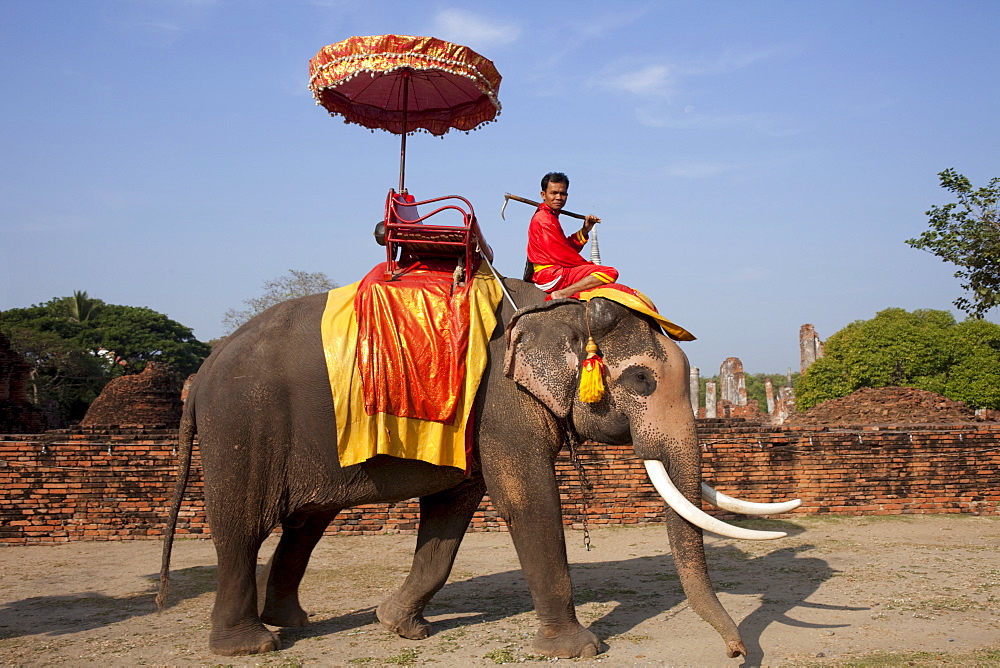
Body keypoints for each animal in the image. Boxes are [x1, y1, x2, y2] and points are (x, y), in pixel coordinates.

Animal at [156, 276, 796, 656]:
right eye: (640, 380)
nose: (736, 653)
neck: (556, 307)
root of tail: (202, 373)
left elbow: (452, 512)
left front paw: (401, 627)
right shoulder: (500, 404)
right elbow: (528, 500)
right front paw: (580, 650)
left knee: (306, 522)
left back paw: (295, 622)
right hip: (243, 424)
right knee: (242, 527)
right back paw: (252, 646)